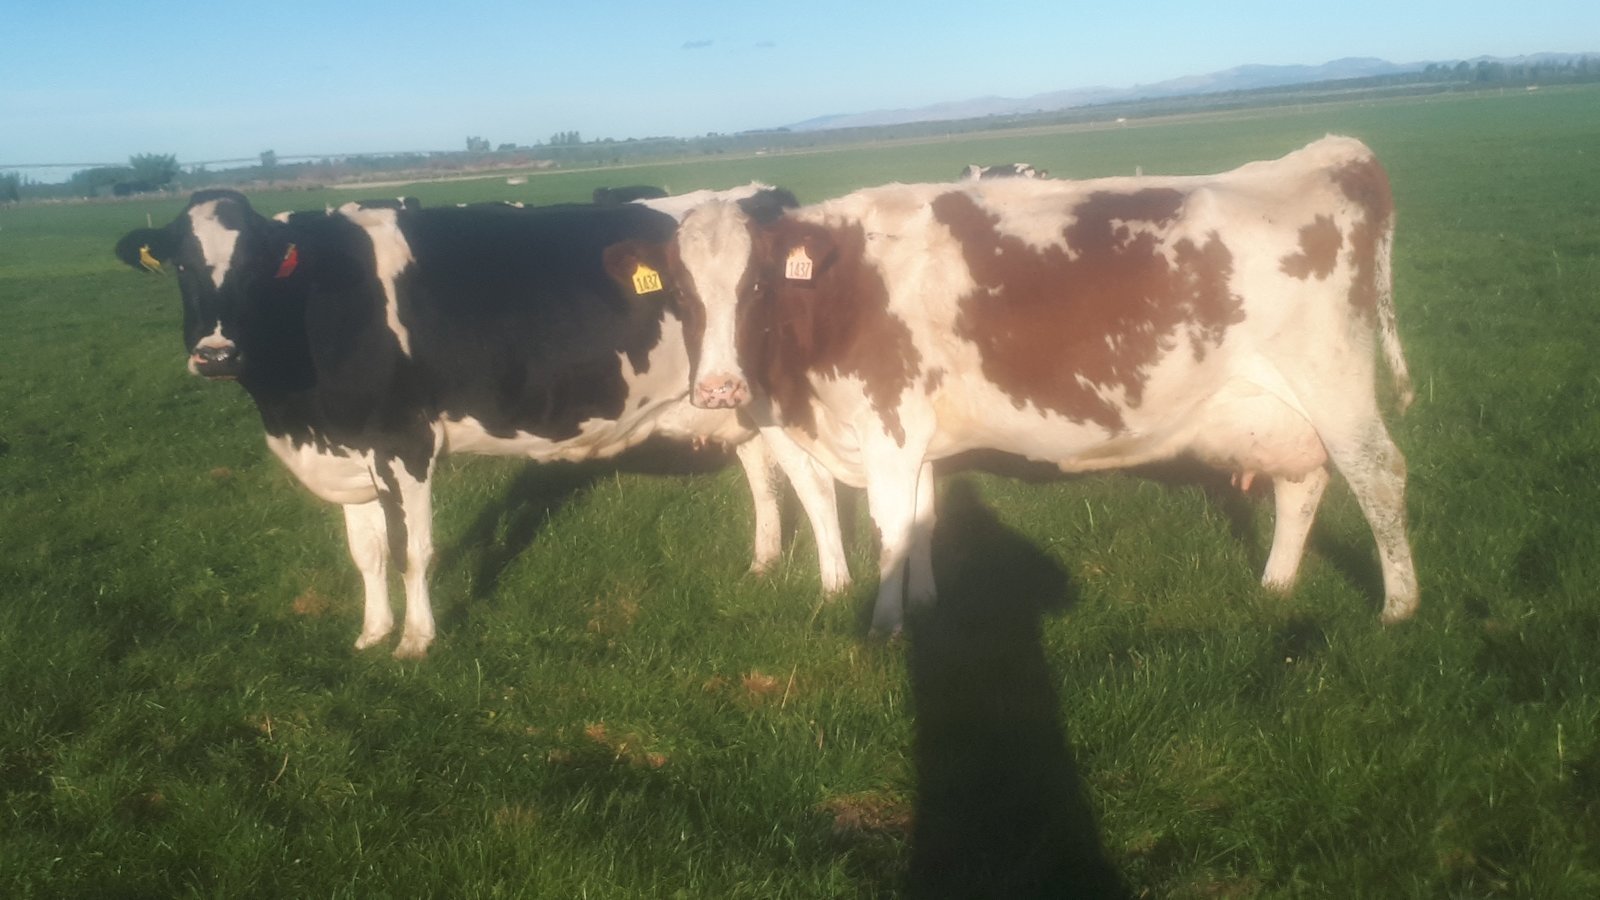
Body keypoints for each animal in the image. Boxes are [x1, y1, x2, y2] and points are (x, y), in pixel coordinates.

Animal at [114, 187, 848, 658]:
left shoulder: (404, 439)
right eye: (181, 263)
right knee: (762, 470)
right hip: (728, 400)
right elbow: (367, 553)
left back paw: (835, 591)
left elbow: (414, 552)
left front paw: (415, 641)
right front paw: (371, 634)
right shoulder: (347, 445)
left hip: (770, 398)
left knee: (816, 486)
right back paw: (762, 563)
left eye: (258, 265)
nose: (215, 353)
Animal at [665, 135, 1418, 635]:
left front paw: (885, 627)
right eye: (681, 292)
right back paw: (1277, 585)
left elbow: (890, 524)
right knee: (1304, 483)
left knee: (1378, 474)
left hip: (1333, 384)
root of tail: (1328, 155)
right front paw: (926, 605)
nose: (718, 389)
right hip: (1284, 408)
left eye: (756, 286)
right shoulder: (915, 432)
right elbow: (922, 514)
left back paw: (1399, 609)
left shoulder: (888, 424)